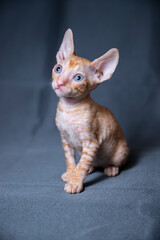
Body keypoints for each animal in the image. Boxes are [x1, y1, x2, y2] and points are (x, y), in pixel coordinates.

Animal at [52, 28, 129, 193]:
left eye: (78, 78)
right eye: (58, 69)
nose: (59, 83)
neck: (68, 109)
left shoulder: (91, 142)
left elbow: (81, 166)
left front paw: (75, 183)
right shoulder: (65, 139)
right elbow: (70, 160)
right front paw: (70, 173)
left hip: (120, 151)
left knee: (113, 162)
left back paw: (111, 168)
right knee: (88, 162)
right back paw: (91, 168)